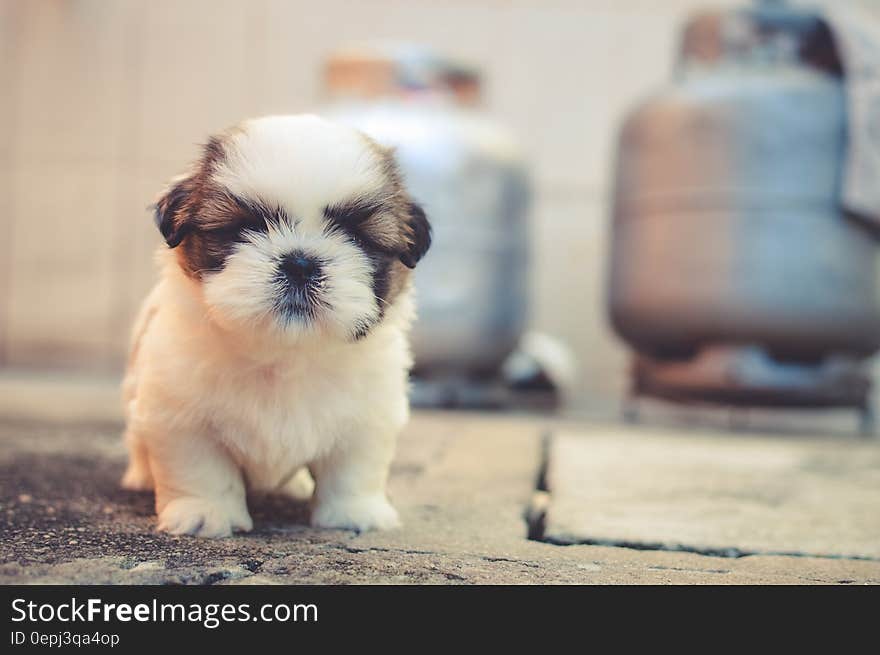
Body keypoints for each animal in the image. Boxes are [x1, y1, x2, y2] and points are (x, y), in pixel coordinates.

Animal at [119, 115, 430, 540]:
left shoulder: (370, 416)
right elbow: (201, 469)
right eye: (243, 228)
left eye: (356, 237)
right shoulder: (179, 415)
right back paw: (140, 476)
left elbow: (354, 468)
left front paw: (355, 512)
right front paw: (206, 512)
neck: (284, 356)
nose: (300, 263)